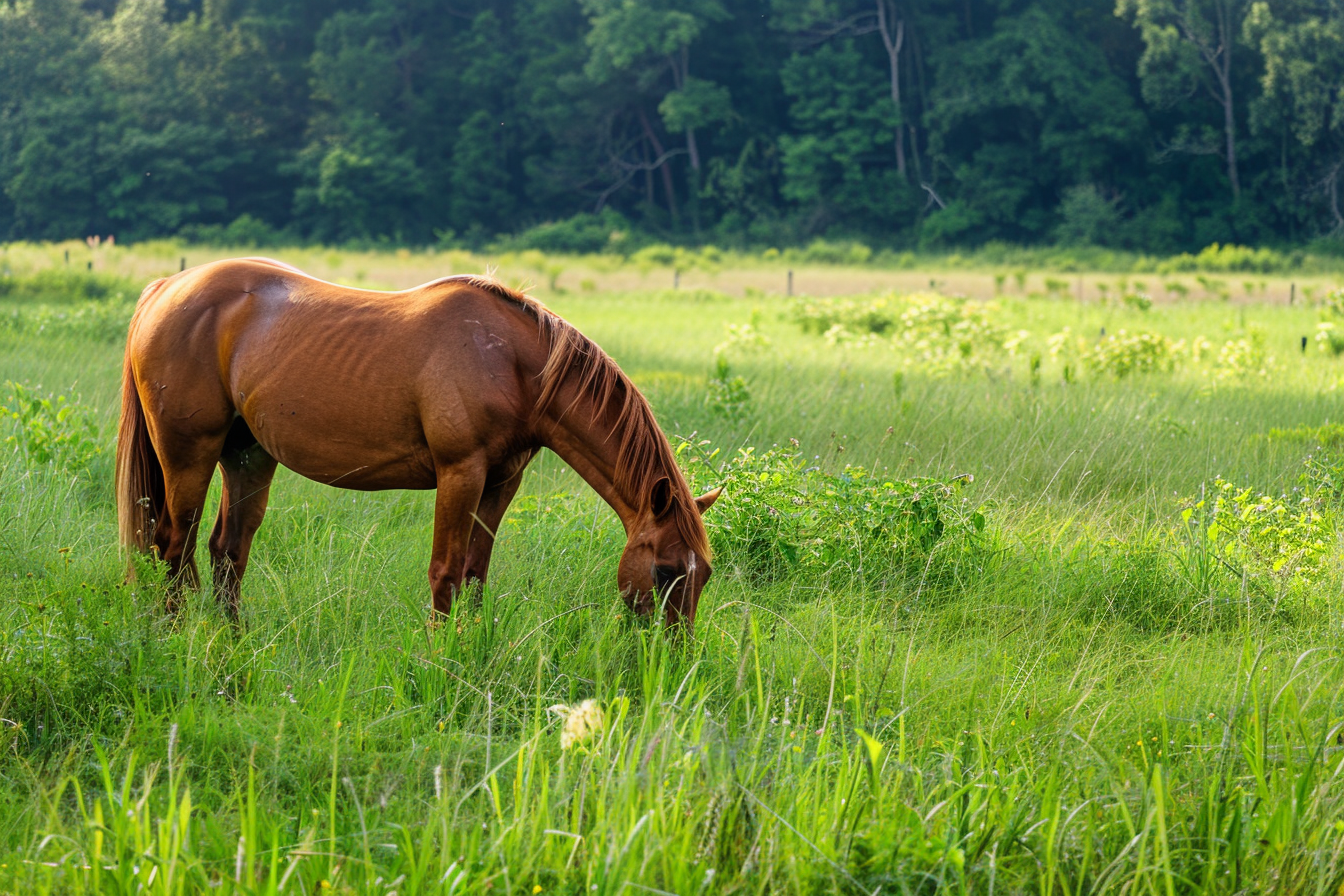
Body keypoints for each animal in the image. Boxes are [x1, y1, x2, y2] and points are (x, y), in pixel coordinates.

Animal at [115, 258, 721, 628]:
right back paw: (177, 637)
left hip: (248, 457)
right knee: (172, 547)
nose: (674, 655)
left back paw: (234, 642)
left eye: (704, 574)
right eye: (666, 571)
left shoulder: (502, 480)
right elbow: (445, 574)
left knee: (226, 552)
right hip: (188, 455)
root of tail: (164, 289)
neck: (512, 362)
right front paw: (440, 658)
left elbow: (475, 573)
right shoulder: (460, 473)